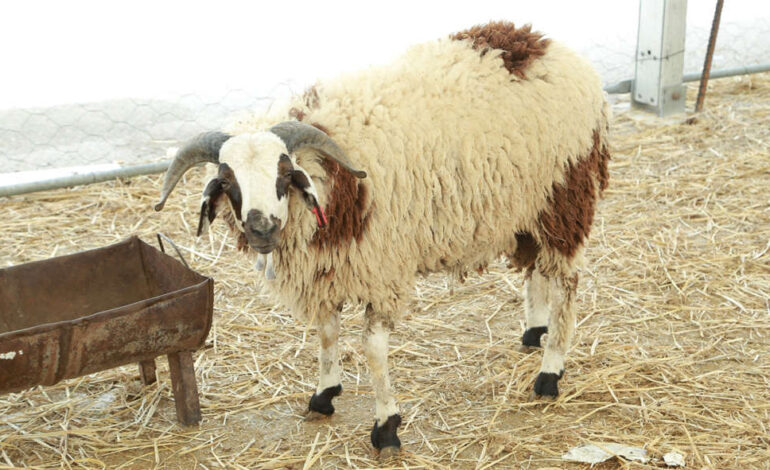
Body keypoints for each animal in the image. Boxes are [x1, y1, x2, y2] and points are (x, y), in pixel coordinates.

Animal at [154, 21, 610, 457]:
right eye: (228, 182)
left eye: (285, 174)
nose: (261, 228)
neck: (334, 176)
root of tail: (543, 44)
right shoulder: (330, 267)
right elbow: (327, 332)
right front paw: (324, 395)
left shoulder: (381, 269)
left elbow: (372, 348)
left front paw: (386, 427)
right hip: (527, 209)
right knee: (537, 268)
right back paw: (535, 330)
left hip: (564, 195)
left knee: (567, 281)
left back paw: (550, 371)